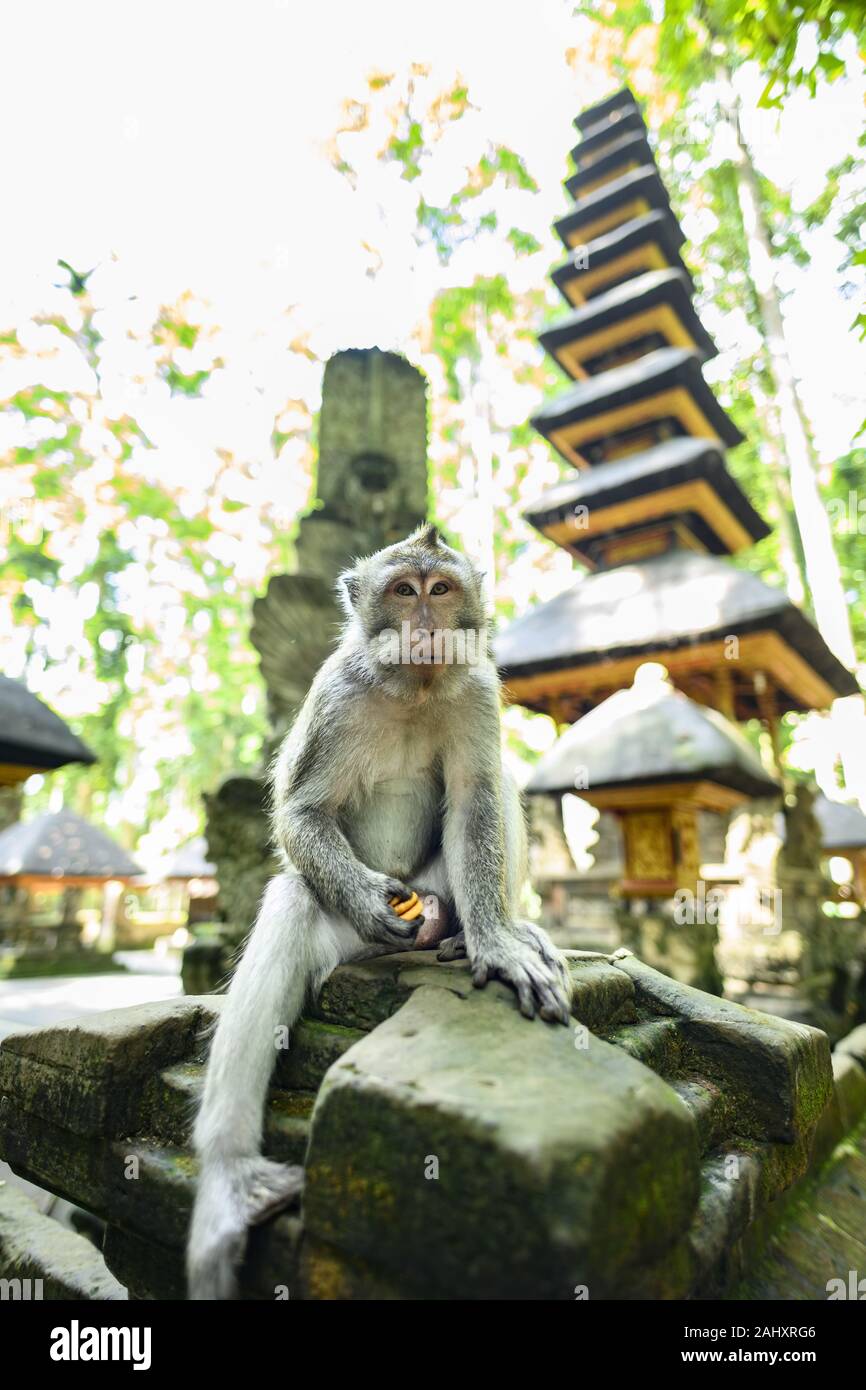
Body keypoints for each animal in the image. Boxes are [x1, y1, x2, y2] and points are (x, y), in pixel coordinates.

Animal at [186, 523, 572, 1300]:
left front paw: (498, 943)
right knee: (294, 900)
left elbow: (478, 798)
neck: (414, 688)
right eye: (403, 590)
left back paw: (474, 932)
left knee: (495, 786)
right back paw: (231, 1178)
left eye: (441, 589)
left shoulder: (477, 690)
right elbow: (302, 812)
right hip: (352, 936)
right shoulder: (334, 692)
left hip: (437, 886)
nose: (425, 624)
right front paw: (370, 898)